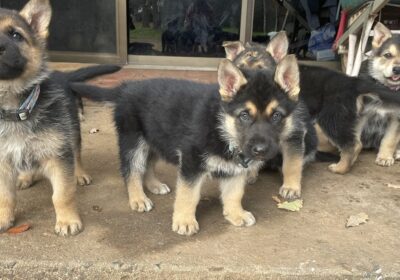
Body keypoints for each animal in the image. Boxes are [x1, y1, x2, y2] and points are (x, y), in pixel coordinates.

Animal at [0, 0, 119, 235]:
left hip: (70, 131)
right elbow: (5, 196)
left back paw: (79, 174)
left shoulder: (58, 154)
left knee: (77, 154)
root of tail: (63, 75)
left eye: (16, 35)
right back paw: (25, 177)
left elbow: (62, 194)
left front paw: (67, 220)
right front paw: (3, 218)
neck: (15, 109)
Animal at [70, 55, 306, 235]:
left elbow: (234, 194)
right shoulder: (191, 162)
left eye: (276, 116)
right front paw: (184, 221)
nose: (260, 151)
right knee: (132, 170)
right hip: (134, 141)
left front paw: (235, 214)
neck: (222, 127)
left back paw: (154, 185)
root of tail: (125, 88)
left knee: (148, 165)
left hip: (157, 138)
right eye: (245, 115)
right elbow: (188, 195)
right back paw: (138, 198)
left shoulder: (235, 170)